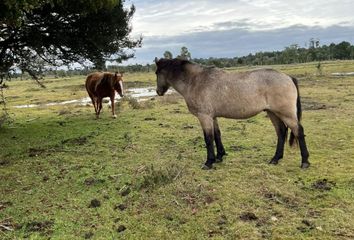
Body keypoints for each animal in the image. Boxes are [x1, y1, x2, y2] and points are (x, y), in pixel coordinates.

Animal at [155, 57, 310, 171]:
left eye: (157, 73)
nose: (158, 91)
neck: (196, 81)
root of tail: (288, 77)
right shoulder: (212, 117)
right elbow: (217, 135)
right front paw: (219, 157)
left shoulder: (204, 117)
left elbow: (208, 138)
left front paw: (209, 162)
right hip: (273, 113)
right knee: (281, 132)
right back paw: (275, 159)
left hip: (286, 114)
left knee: (298, 131)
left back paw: (305, 162)